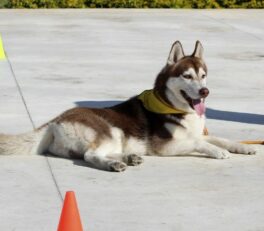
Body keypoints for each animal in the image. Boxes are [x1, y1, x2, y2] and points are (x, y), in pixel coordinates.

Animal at [0, 40, 256, 171]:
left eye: (203, 76)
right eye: (187, 76)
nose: (205, 92)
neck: (174, 108)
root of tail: (54, 121)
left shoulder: (196, 133)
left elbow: (219, 138)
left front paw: (242, 147)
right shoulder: (164, 146)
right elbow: (200, 142)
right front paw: (217, 151)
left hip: (117, 138)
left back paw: (128, 158)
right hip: (110, 130)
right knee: (90, 155)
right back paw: (114, 164)